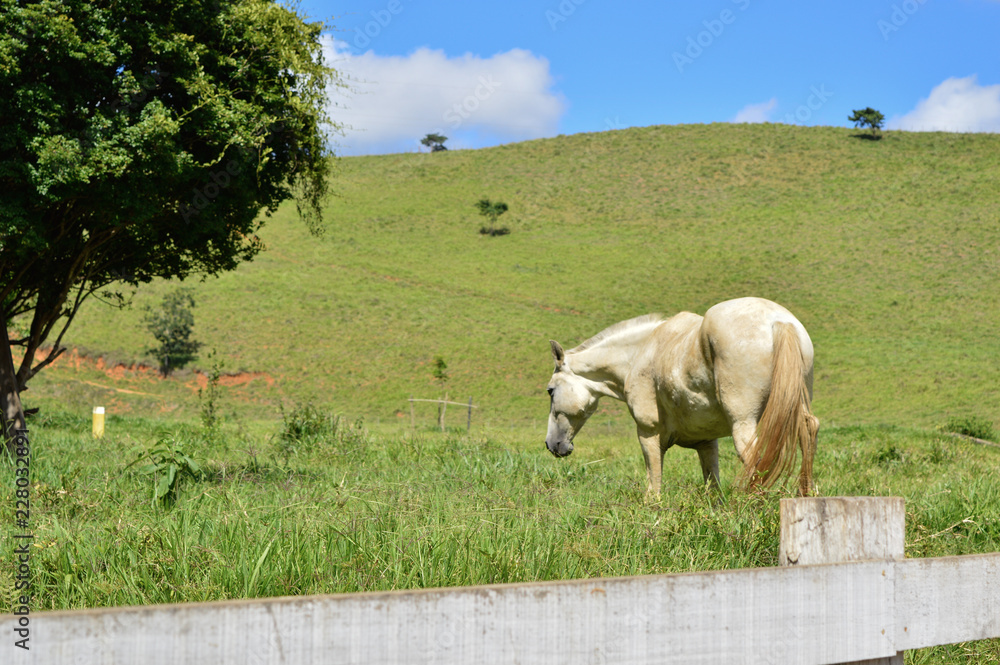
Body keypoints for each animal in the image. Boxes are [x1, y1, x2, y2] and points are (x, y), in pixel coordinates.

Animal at [548, 296, 820, 492]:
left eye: (550, 391)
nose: (552, 444)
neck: (641, 352)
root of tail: (779, 322)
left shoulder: (648, 434)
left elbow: (654, 487)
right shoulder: (707, 443)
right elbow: (713, 490)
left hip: (743, 423)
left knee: (755, 461)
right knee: (808, 431)